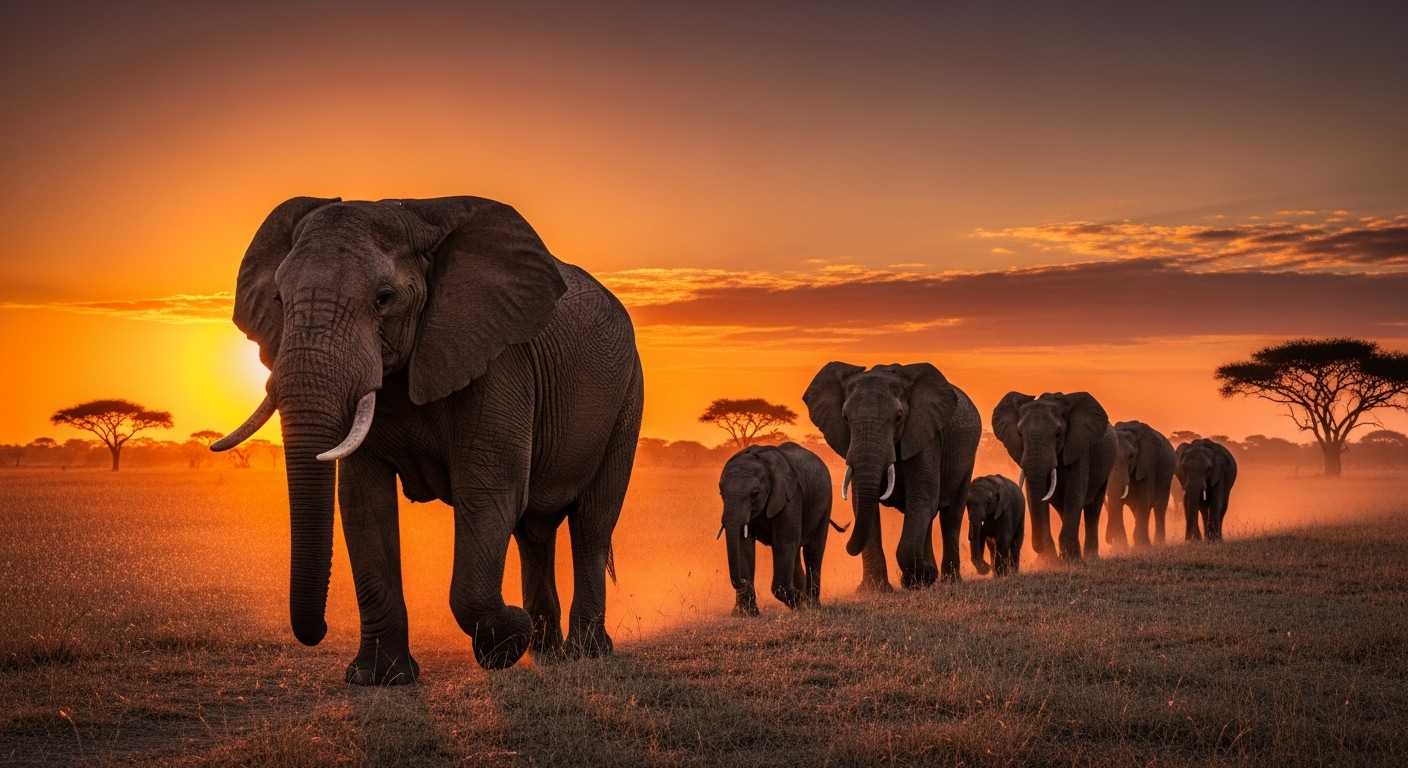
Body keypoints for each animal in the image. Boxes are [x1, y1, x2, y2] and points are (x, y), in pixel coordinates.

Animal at [212, 196, 643, 681]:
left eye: (384, 299)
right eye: (279, 299)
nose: (318, 629)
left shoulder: (498, 360)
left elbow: (488, 491)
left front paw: (506, 642)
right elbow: (364, 502)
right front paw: (379, 678)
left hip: (627, 396)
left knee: (591, 524)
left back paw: (583, 652)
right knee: (533, 533)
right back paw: (545, 650)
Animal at [716, 442, 837, 615]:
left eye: (754, 494)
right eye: (721, 493)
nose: (742, 580)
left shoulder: (790, 499)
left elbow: (783, 544)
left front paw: (801, 605)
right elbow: (744, 545)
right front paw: (745, 614)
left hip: (826, 502)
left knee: (813, 551)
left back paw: (812, 606)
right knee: (796, 553)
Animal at [803, 362, 981, 591]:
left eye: (898, 417)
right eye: (845, 418)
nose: (845, 527)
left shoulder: (927, 438)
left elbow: (921, 499)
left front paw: (924, 576)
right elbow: (863, 503)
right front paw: (874, 591)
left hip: (967, 458)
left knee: (951, 515)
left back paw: (948, 581)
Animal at [992, 392, 1116, 561]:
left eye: (1058, 434)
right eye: (1019, 434)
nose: (1038, 547)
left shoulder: (1079, 449)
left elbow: (1074, 495)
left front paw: (1071, 562)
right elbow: (1034, 497)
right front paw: (1049, 562)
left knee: (1092, 509)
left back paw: (1089, 558)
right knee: (1063, 509)